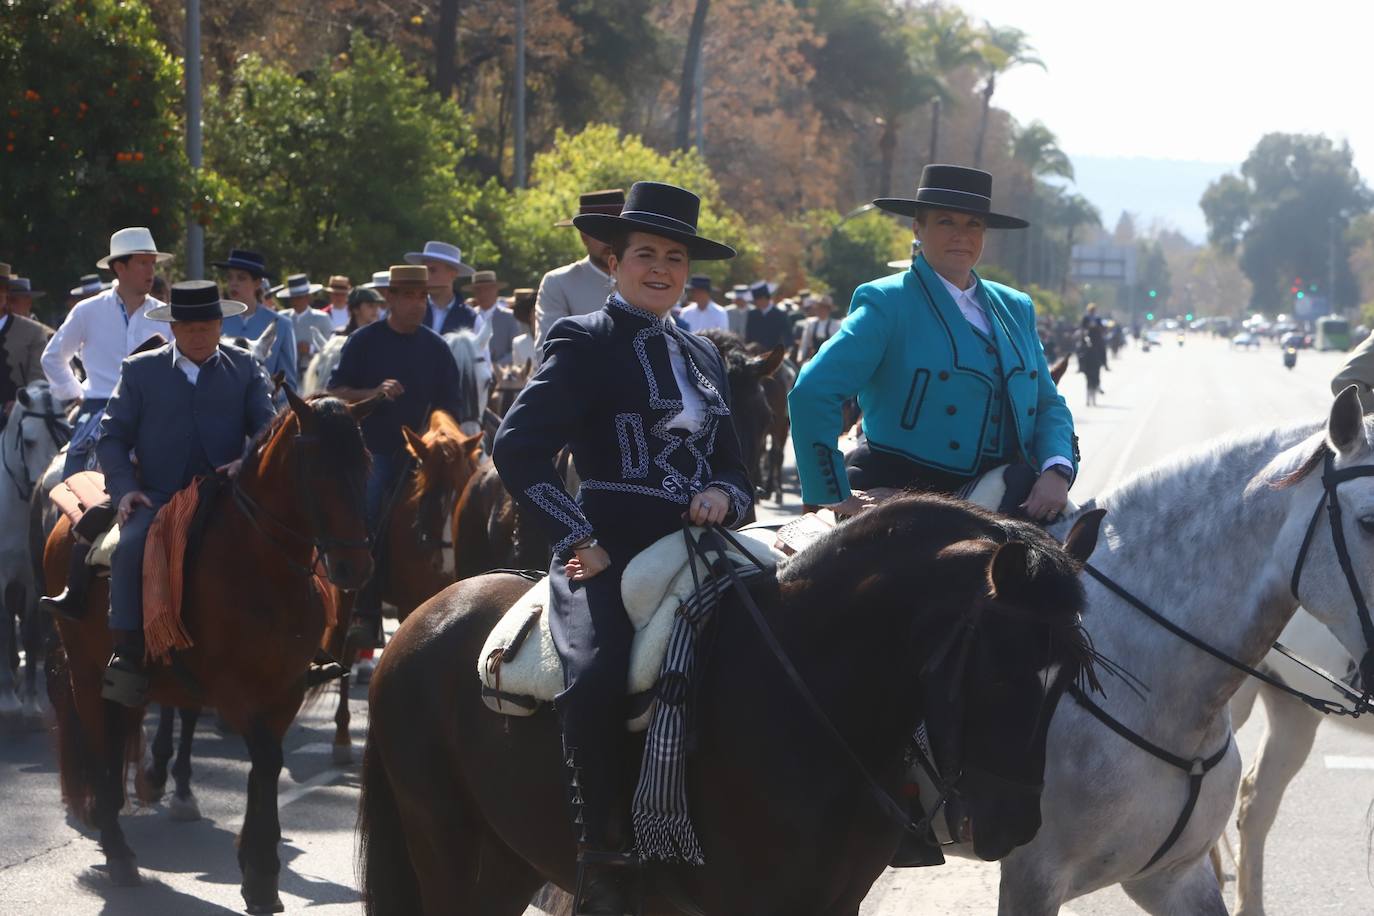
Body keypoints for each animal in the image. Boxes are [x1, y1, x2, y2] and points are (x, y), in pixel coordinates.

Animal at [44, 390, 373, 911]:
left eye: (364, 463)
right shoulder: (234, 691)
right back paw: (117, 847)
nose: (354, 566)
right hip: (84, 668)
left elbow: (266, 765)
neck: (259, 567)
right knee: (100, 741)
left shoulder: (285, 689)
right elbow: (266, 758)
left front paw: (257, 867)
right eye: (315, 468)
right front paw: (260, 872)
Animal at [357, 497, 1104, 911]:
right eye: (999, 667)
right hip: (445, 844)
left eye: (1067, 677)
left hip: (508, 860)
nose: (1013, 827)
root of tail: (419, 619)